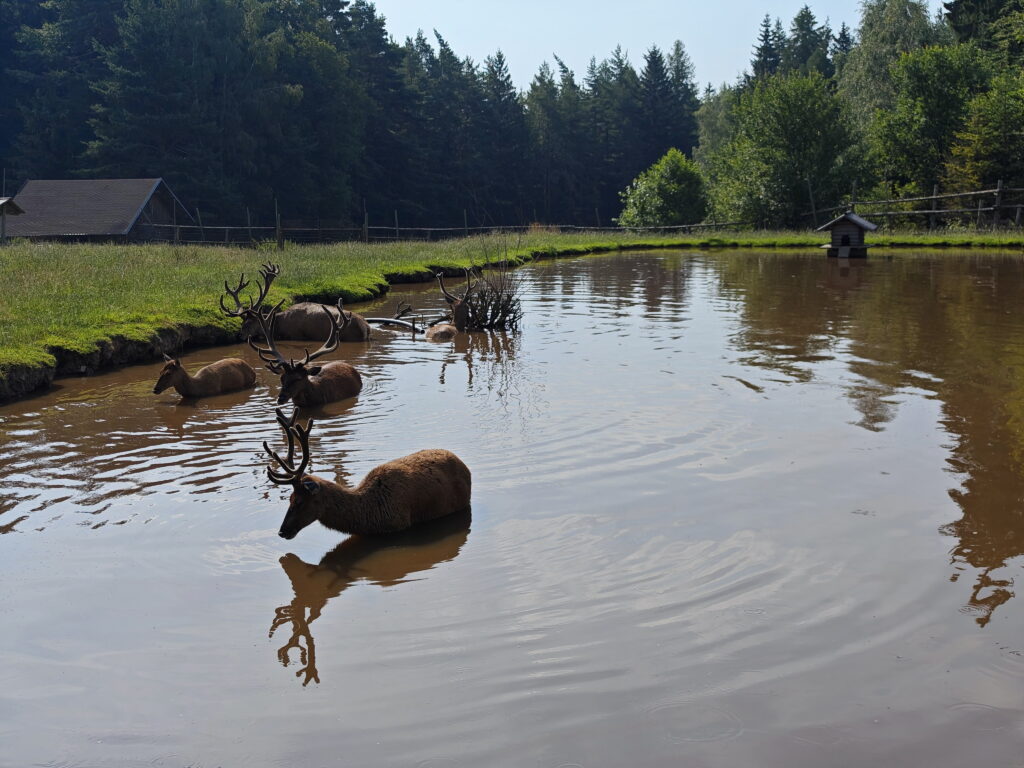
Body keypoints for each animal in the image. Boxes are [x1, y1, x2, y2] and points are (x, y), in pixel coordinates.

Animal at [220, 264, 372, 342]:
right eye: (241, 322)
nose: (239, 336)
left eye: (248, 323)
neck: (277, 325)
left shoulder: (295, 335)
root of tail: (366, 327)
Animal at [264, 409, 471, 540]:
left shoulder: (400, 525)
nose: (282, 531)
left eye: (299, 501)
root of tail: (463, 464)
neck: (368, 515)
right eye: (289, 499)